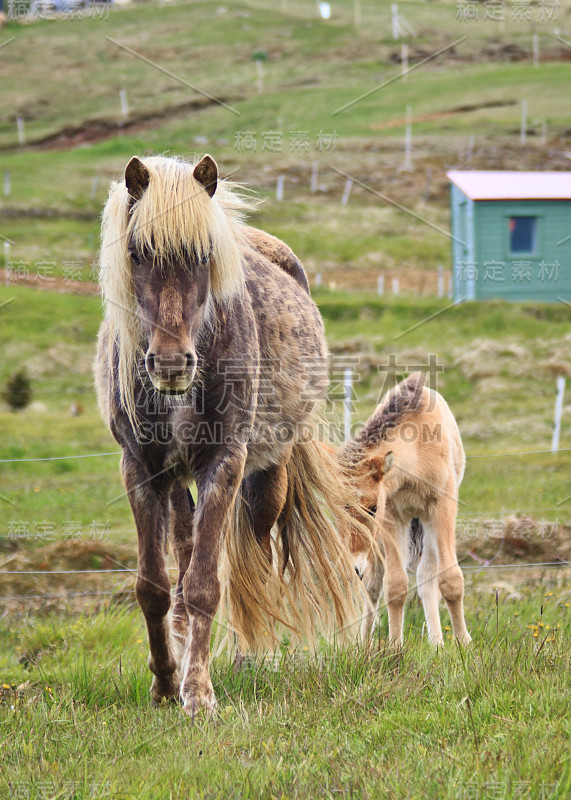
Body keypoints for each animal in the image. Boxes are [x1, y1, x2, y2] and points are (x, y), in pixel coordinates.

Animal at [94, 155, 366, 712]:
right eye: (136, 252)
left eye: (204, 254)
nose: (171, 363)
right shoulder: (139, 468)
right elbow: (154, 586)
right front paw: (165, 682)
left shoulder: (223, 463)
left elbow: (204, 584)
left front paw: (199, 694)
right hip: (176, 482)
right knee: (184, 552)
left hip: (267, 476)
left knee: (252, 563)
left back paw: (248, 657)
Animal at [338, 376, 472, 648]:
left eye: (372, 508)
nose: (352, 567)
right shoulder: (392, 517)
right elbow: (395, 585)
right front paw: (394, 647)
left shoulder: (441, 508)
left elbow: (451, 579)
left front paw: (464, 643)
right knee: (373, 583)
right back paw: (364, 645)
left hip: (426, 525)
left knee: (426, 576)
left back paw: (437, 642)